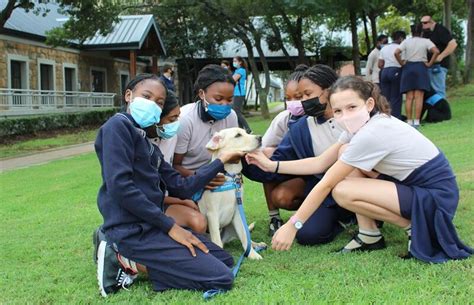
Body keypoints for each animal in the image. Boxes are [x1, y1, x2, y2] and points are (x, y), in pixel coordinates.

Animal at [198, 127, 266, 258]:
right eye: (238, 135)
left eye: (246, 132)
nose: (260, 137)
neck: (230, 177)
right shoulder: (212, 214)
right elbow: (217, 241)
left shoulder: (238, 213)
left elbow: (244, 237)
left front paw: (252, 254)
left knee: (246, 236)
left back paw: (257, 245)